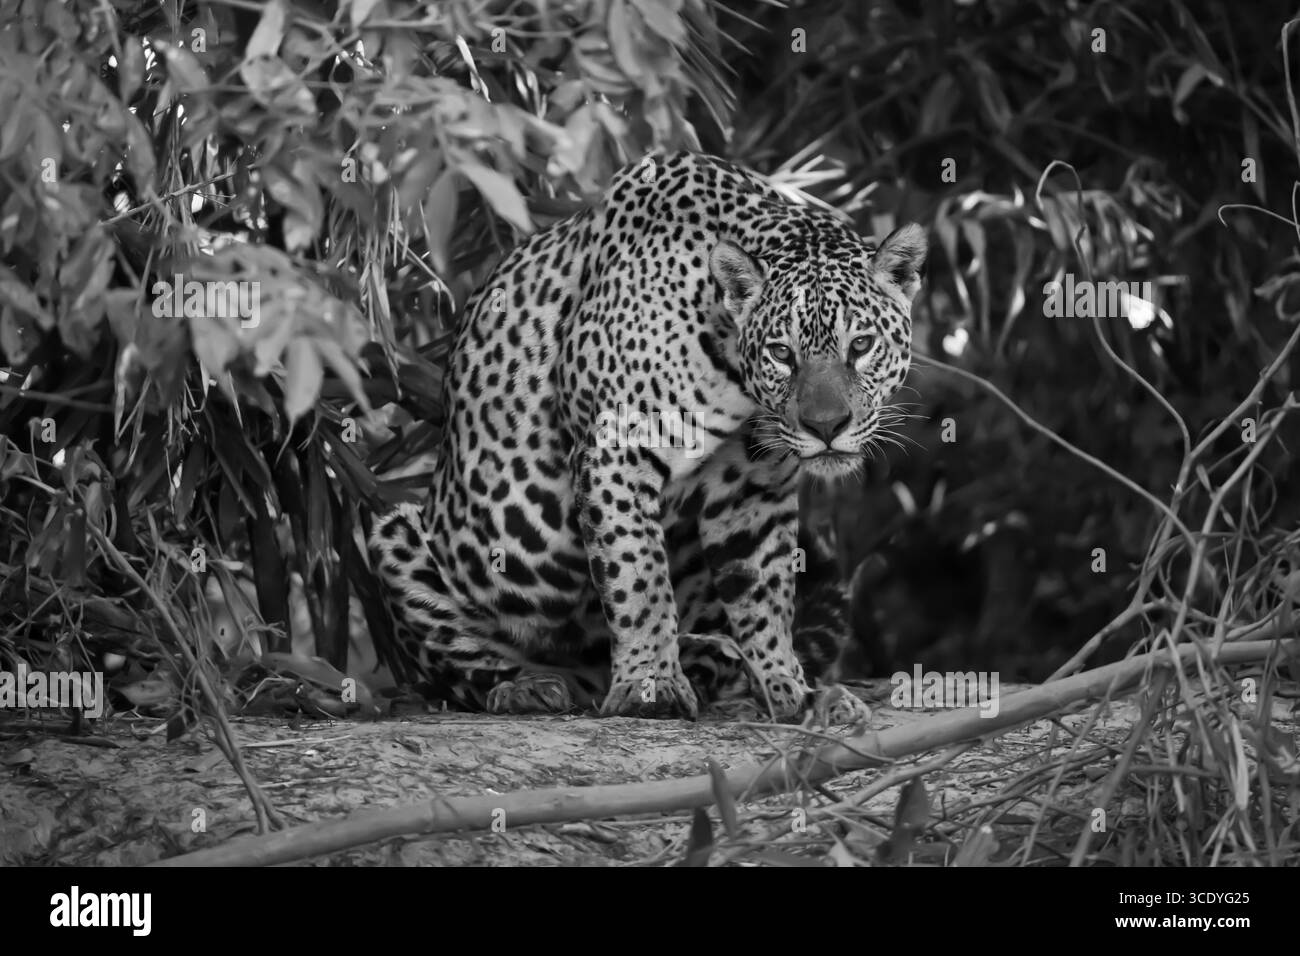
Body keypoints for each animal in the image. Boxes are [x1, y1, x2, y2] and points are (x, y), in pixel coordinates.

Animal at [368, 149, 927, 722]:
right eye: (780, 353)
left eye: (861, 345)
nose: (826, 426)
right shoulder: (616, 451)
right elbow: (639, 576)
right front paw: (648, 685)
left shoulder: (753, 488)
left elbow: (764, 595)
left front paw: (790, 693)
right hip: (398, 539)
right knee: (469, 672)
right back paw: (531, 686)